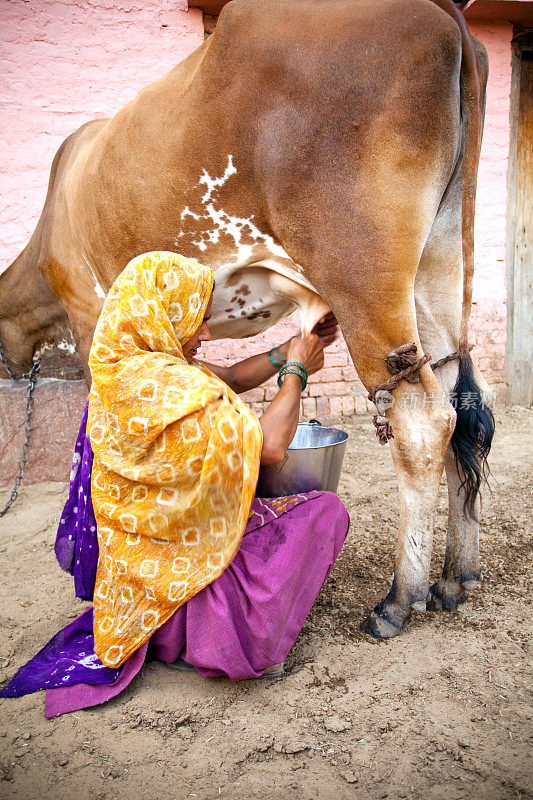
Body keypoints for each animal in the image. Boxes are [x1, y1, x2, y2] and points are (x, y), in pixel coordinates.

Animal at [0, 0, 494, 636]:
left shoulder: (91, 315)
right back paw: (456, 579)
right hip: (441, 269)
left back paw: (398, 599)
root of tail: (445, 13)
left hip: (363, 276)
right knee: (466, 405)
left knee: (423, 421)